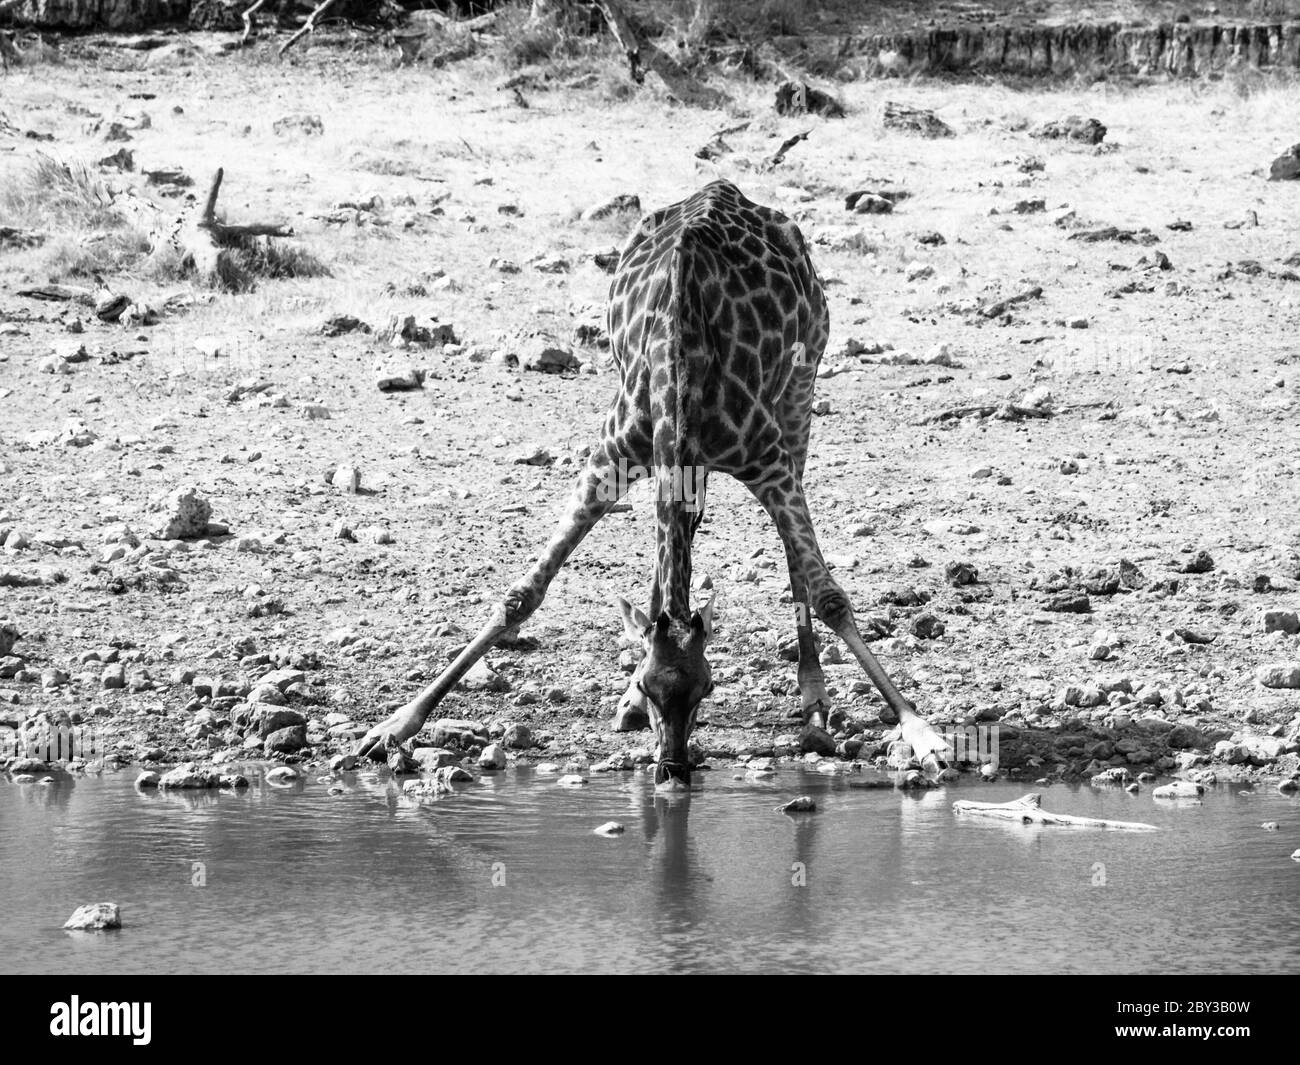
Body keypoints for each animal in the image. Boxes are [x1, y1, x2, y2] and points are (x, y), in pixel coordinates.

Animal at [361, 179, 951, 785]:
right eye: (650, 685)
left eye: (709, 688)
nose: (671, 767)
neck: (681, 368)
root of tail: (725, 187)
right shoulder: (611, 456)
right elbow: (521, 597)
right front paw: (392, 727)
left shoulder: (768, 461)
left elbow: (831, 597)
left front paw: (923, 734)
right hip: (691, 458)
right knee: (682, 535)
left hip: (800, 388)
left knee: (790, 561)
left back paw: (814, 699)